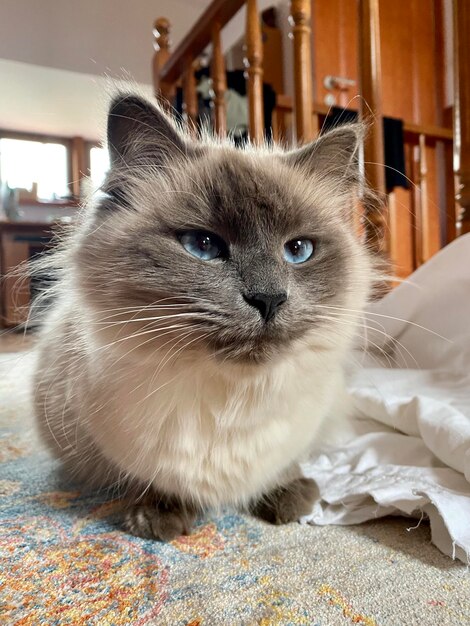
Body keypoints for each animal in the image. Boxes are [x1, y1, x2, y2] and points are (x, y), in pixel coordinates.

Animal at [33, 92, 376, 536]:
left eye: (298, 250)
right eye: (204, 245)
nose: (268, 299)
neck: (232, 399)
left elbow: (283, 465)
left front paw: (288, 497)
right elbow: (154, 478)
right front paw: (157, 517)